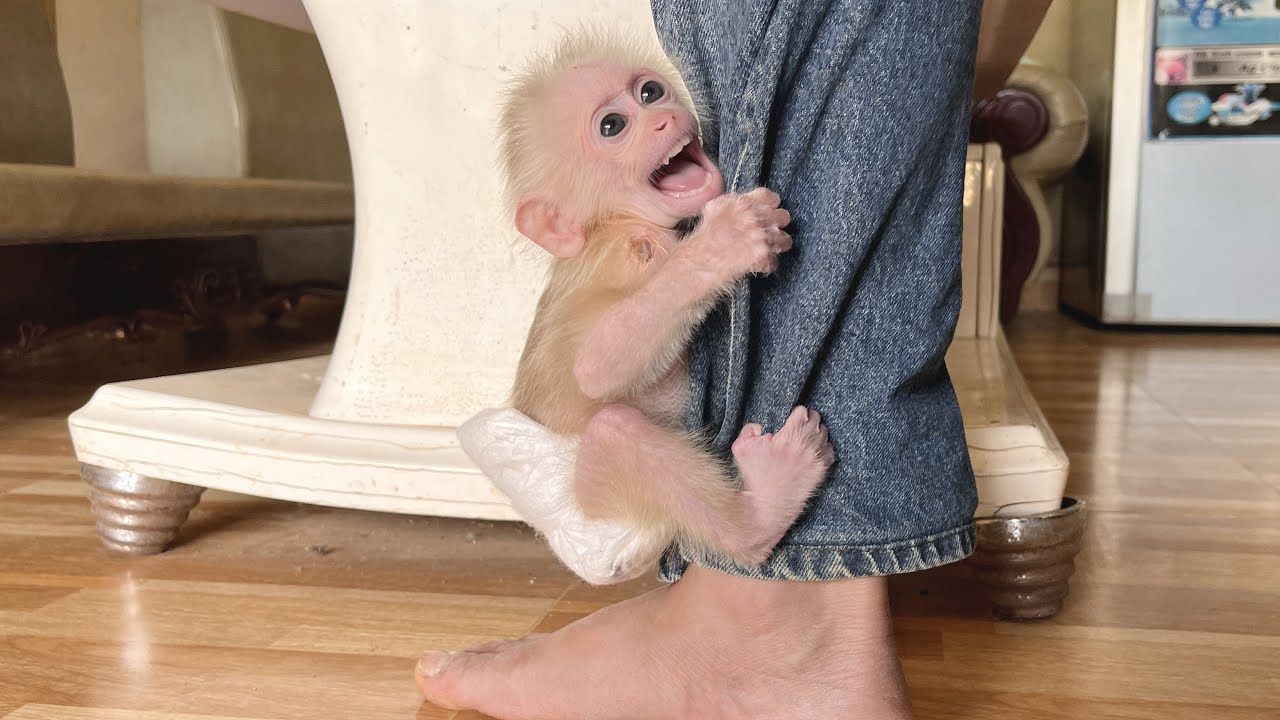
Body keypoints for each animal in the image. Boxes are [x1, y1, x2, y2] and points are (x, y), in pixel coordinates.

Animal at [462, 28, 835, 577]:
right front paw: (724, 245)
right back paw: (761, 513)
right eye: (612, 126)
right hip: (597, 498)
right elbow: (597, 367)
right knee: (613, 428)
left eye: (650, 92)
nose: (662, 118)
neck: (622, 219)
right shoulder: (625, 252)